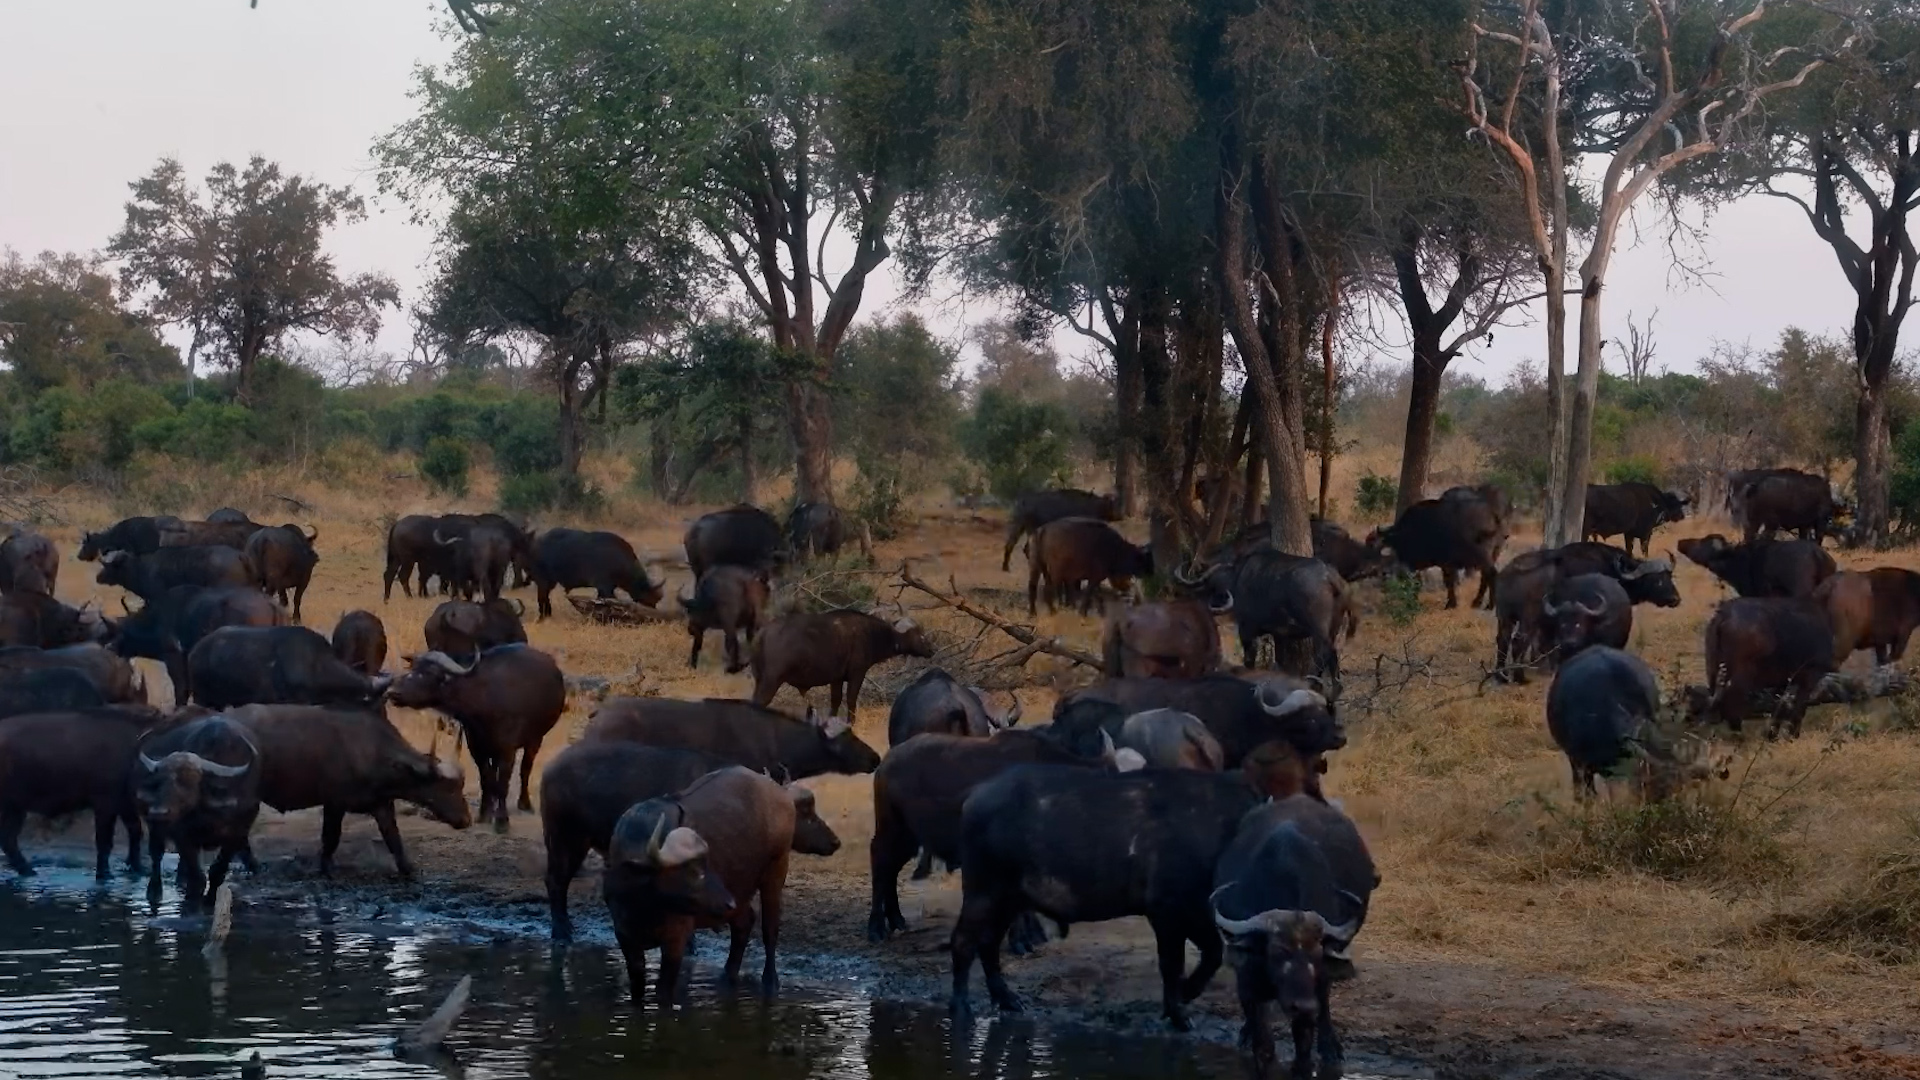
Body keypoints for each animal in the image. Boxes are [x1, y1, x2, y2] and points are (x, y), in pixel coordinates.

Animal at [387, 646, 567, 829]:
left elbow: (503, 782)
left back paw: (525, 803)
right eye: (412, 667)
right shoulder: (476, 746)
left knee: (525, 769)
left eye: (429, 672)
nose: (393, 693)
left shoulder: (507, 748)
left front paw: (502, 821)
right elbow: (486, 779)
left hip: (535, 738)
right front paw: (485, 814)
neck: (482, 702)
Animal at [749, 610, 934, 722]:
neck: (871, 633)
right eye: (920, 635)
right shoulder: (857, 674)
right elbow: (851, 700)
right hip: (771, 682)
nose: (931, 650)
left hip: (759, 680)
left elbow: (836, 701)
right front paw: (851, 724)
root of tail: (763, 633)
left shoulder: (836, 679)